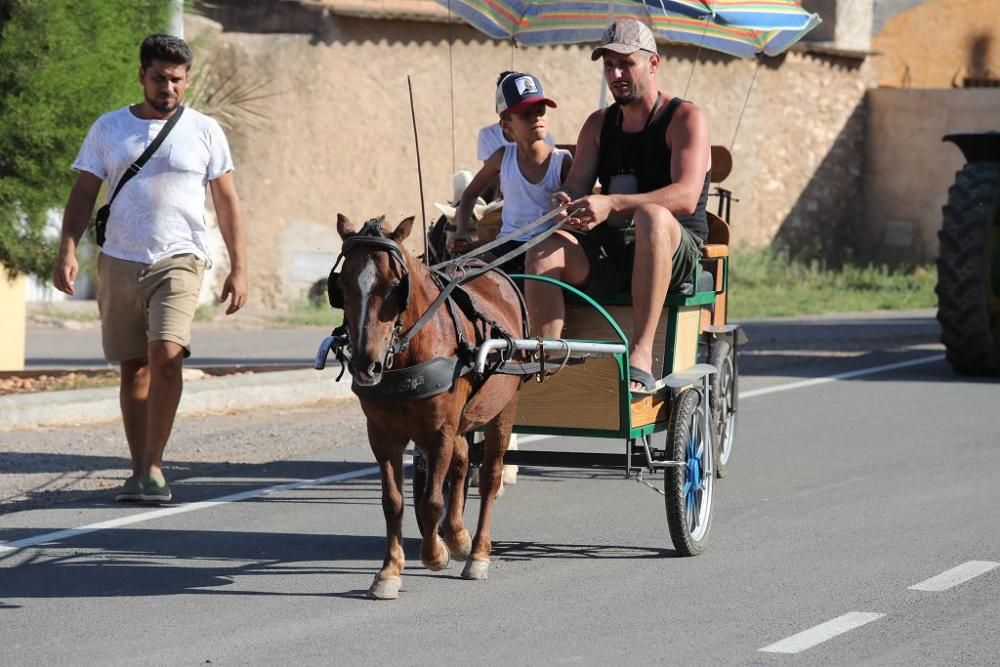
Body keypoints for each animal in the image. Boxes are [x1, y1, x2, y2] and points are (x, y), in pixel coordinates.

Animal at [334, 214, 524, 600]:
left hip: (503, 410)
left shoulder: (439, 433)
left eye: (396, 286)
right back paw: (459, 536)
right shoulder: (382, 436)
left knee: (490, 476)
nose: (365, 365)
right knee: (463, 462)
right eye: (342, 286)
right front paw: (390, 571)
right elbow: (393, 502)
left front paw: (435, 553)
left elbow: (432, 500)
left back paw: (477, 553)